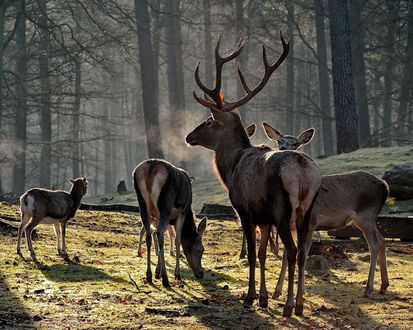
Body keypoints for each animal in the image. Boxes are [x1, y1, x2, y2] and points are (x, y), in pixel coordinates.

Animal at [185, 34, 320, 318]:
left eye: (209, 121)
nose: (188, 136)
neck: (230, 167)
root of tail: (302, 170)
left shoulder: (244, 209)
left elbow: (250, 254)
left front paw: (249, 297)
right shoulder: (264, 218)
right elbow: (261, 254)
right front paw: (264, 298)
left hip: (284, 210)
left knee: (292, 251)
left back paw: (288, 306)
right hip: (308, 210)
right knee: (303, 251)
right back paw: (299, 304)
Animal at [260, 122, 390, 298]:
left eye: (295, 143)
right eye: (279, 141)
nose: (282, 149)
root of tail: (385, 186)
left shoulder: (311, 223)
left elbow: (303, 253)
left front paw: (298, 292)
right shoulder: (291, 226)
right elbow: (287, 255)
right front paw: (277, 292)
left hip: (365, 215)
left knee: (374, 245)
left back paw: (368, 288)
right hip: (367, 219)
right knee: (382, 241)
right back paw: (383, 285)